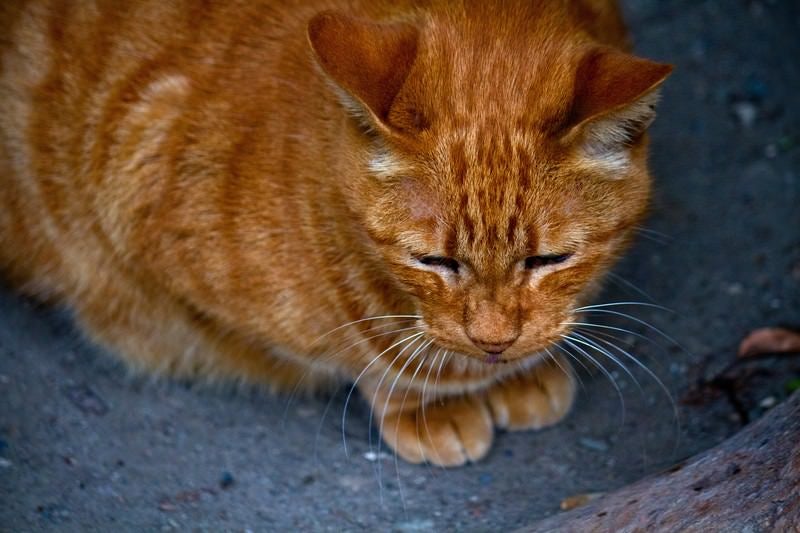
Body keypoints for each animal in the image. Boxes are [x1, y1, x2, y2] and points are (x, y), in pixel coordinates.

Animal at [1, 0, 668, 464]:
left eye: (548, 260)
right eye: (433, 262)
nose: (494, 343)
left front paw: (517, 367)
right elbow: (361, 350)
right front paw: (435, 399)